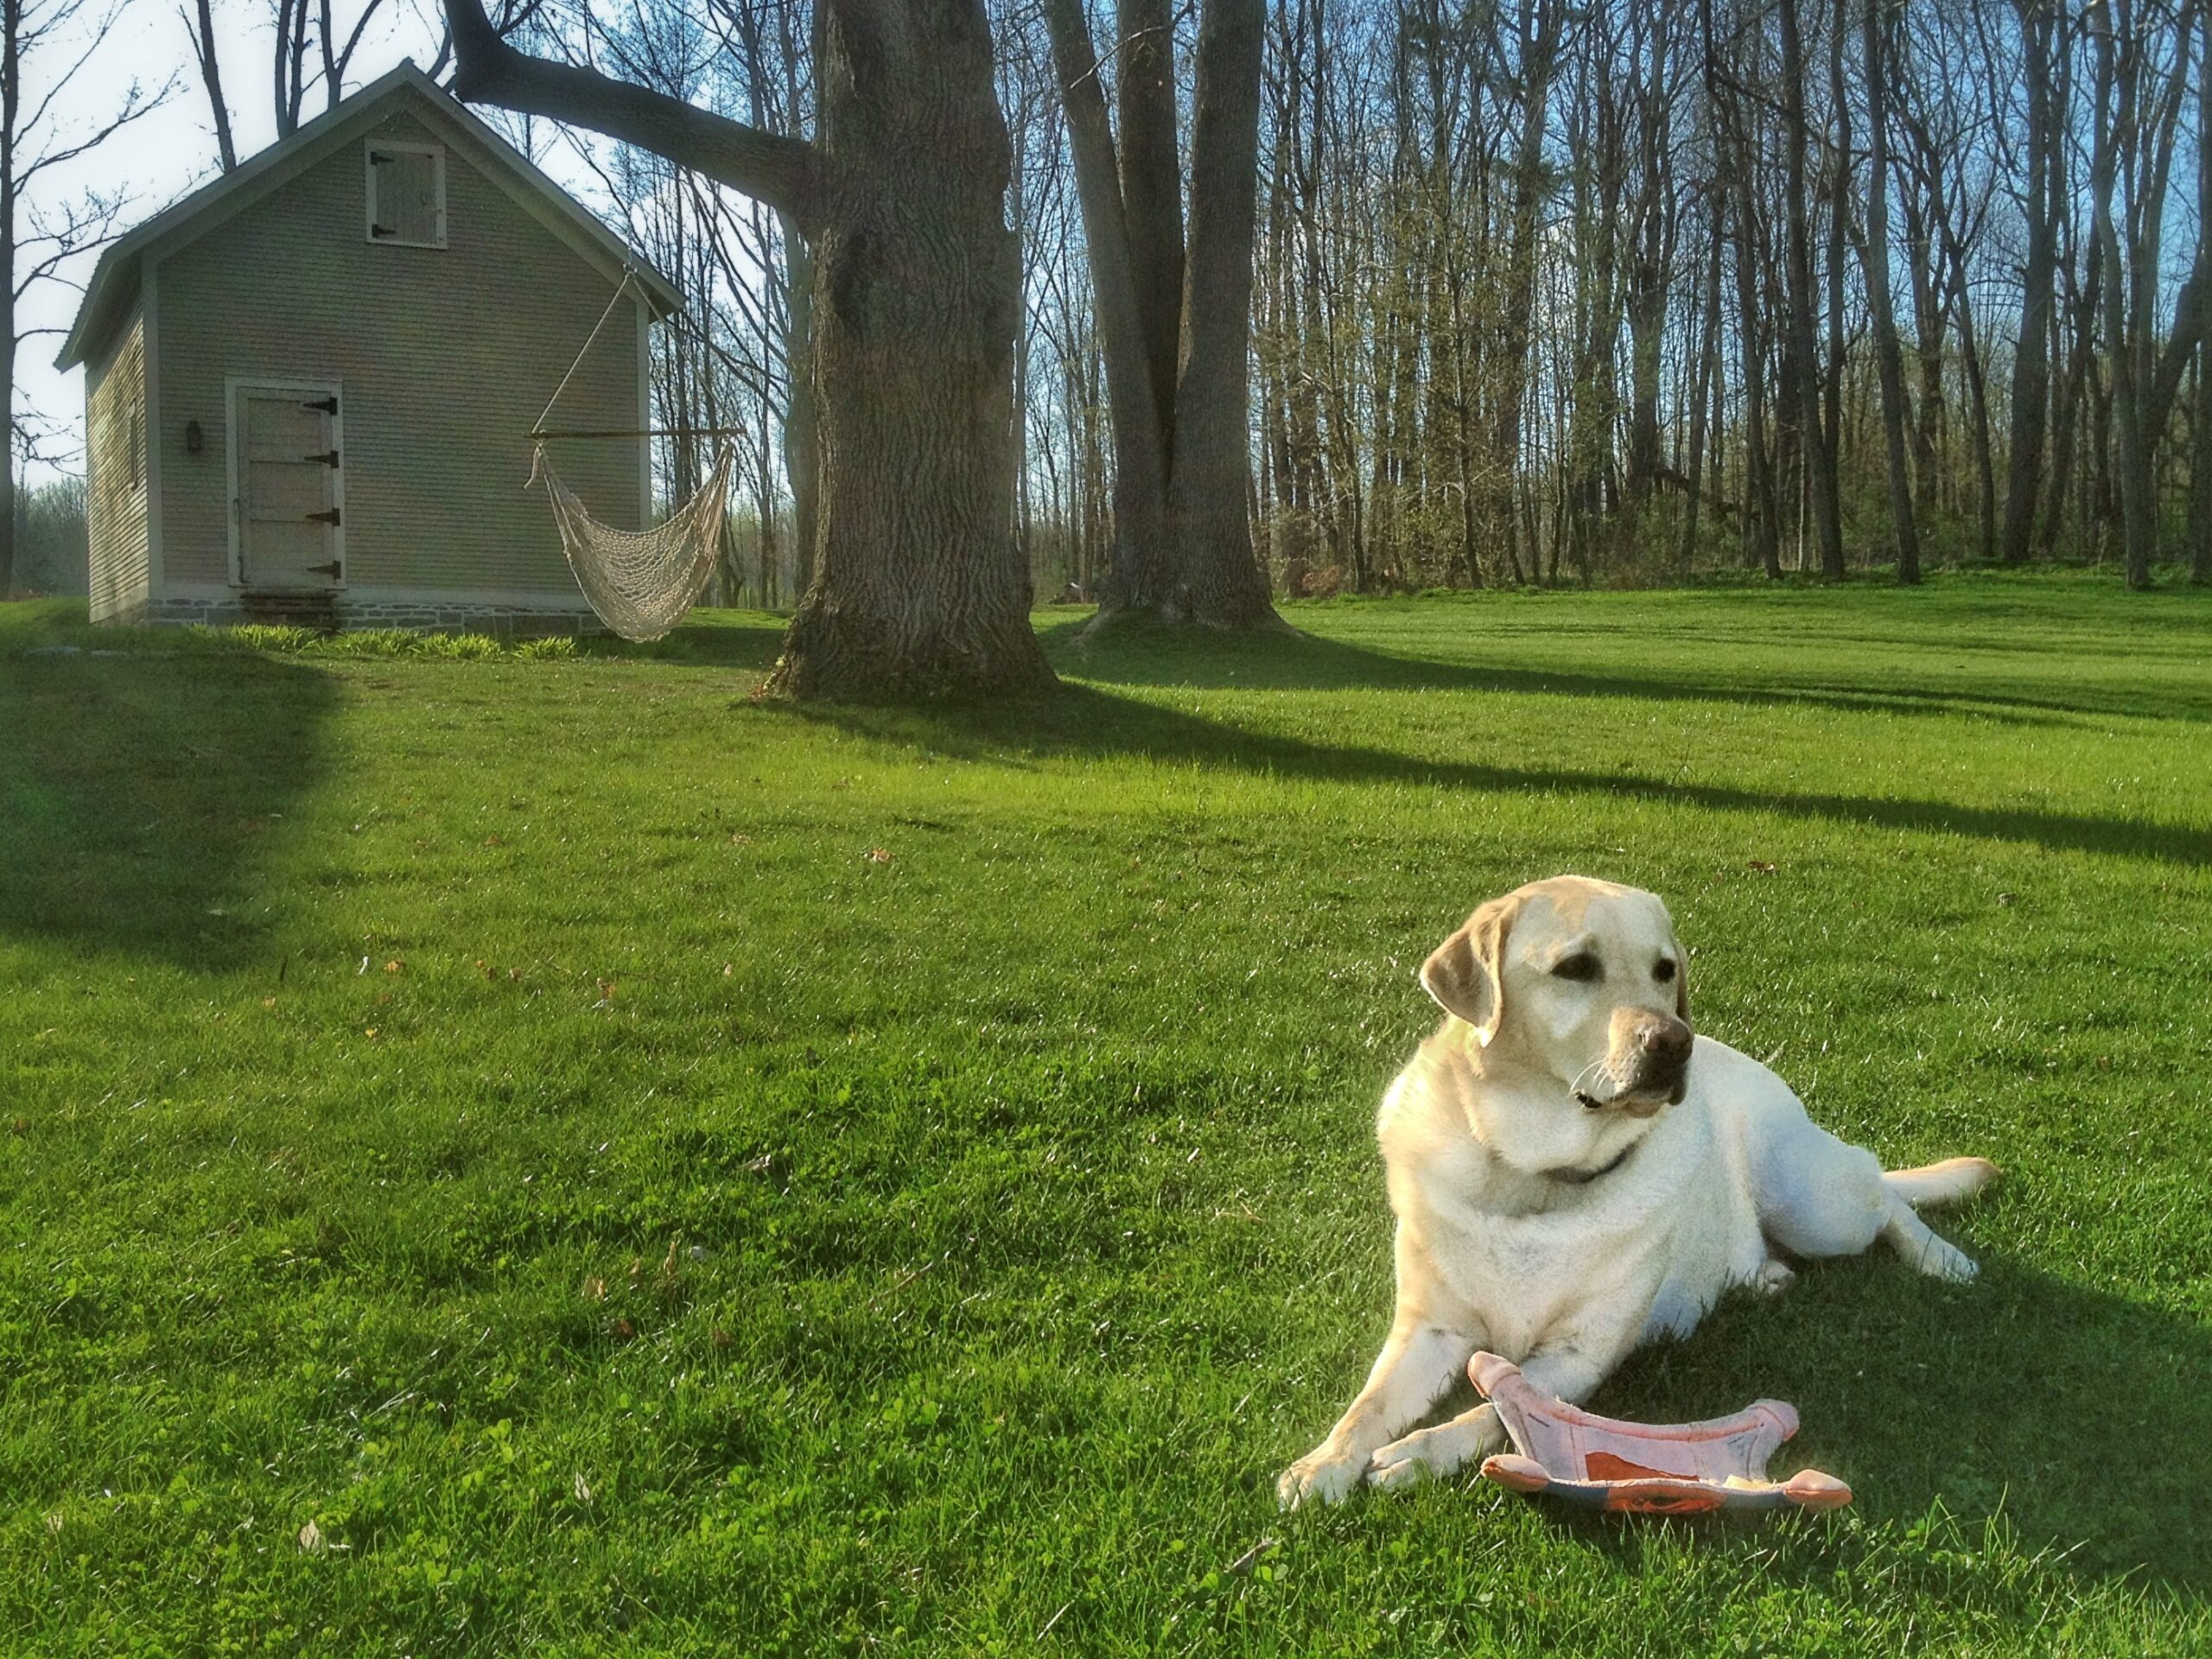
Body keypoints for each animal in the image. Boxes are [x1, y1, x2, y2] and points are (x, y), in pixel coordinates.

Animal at [1274, 875, 1999, 1513]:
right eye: (1575, 967)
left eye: (1665, 970)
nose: (1675, 1043)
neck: (1534, 1179)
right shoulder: (1431, 1329)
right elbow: (1367, 1406)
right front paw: (1323, 1463)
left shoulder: (1579, 1355)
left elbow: (1489, 1414)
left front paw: (1417, 1454)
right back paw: (1765, 1275)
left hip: (1810, 1202)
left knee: (1881, 1189)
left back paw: (1941, 1258)